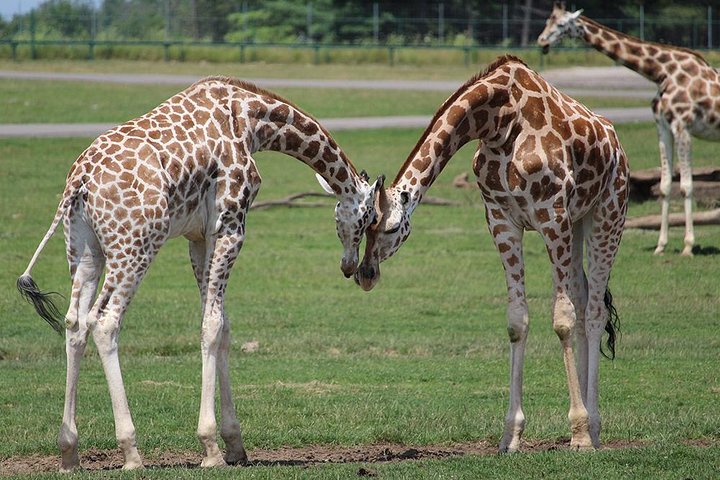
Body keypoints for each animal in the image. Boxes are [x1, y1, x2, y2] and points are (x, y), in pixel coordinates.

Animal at [17, 76, 381, 471]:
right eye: (368, 218)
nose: (352, 269)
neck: (252, 121)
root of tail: (78, 181)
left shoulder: (198, 236)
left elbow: (222, 324)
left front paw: (235, 444)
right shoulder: (231, 226)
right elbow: (212, 325)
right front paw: (211, 447)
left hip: (85, 250)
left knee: (74, 323)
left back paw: (69, 451)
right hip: (135, 245)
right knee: (104, 321)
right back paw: (131, 451)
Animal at [354, 55, 628, 452]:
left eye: (391, 228)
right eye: (364, 226)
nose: (365, 275)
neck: (499, 122)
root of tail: (616, 142)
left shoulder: (552, 216)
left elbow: (562, 319)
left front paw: (577, 434)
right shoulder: (502, 219)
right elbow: (517, 321)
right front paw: (510, 436)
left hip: (607, 213)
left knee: (592, 312)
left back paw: (589, 428)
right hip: (578, 222)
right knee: (583, 299)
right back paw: (593, 427)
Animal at [538, 1, 720, 256]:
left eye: (562, 24)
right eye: (548, 21)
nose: (542, 41)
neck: (661, 71)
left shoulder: (682, 126)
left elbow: (686, 186)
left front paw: (688, 246)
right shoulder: (663, 126)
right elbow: (665, 185)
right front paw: (661, 245)